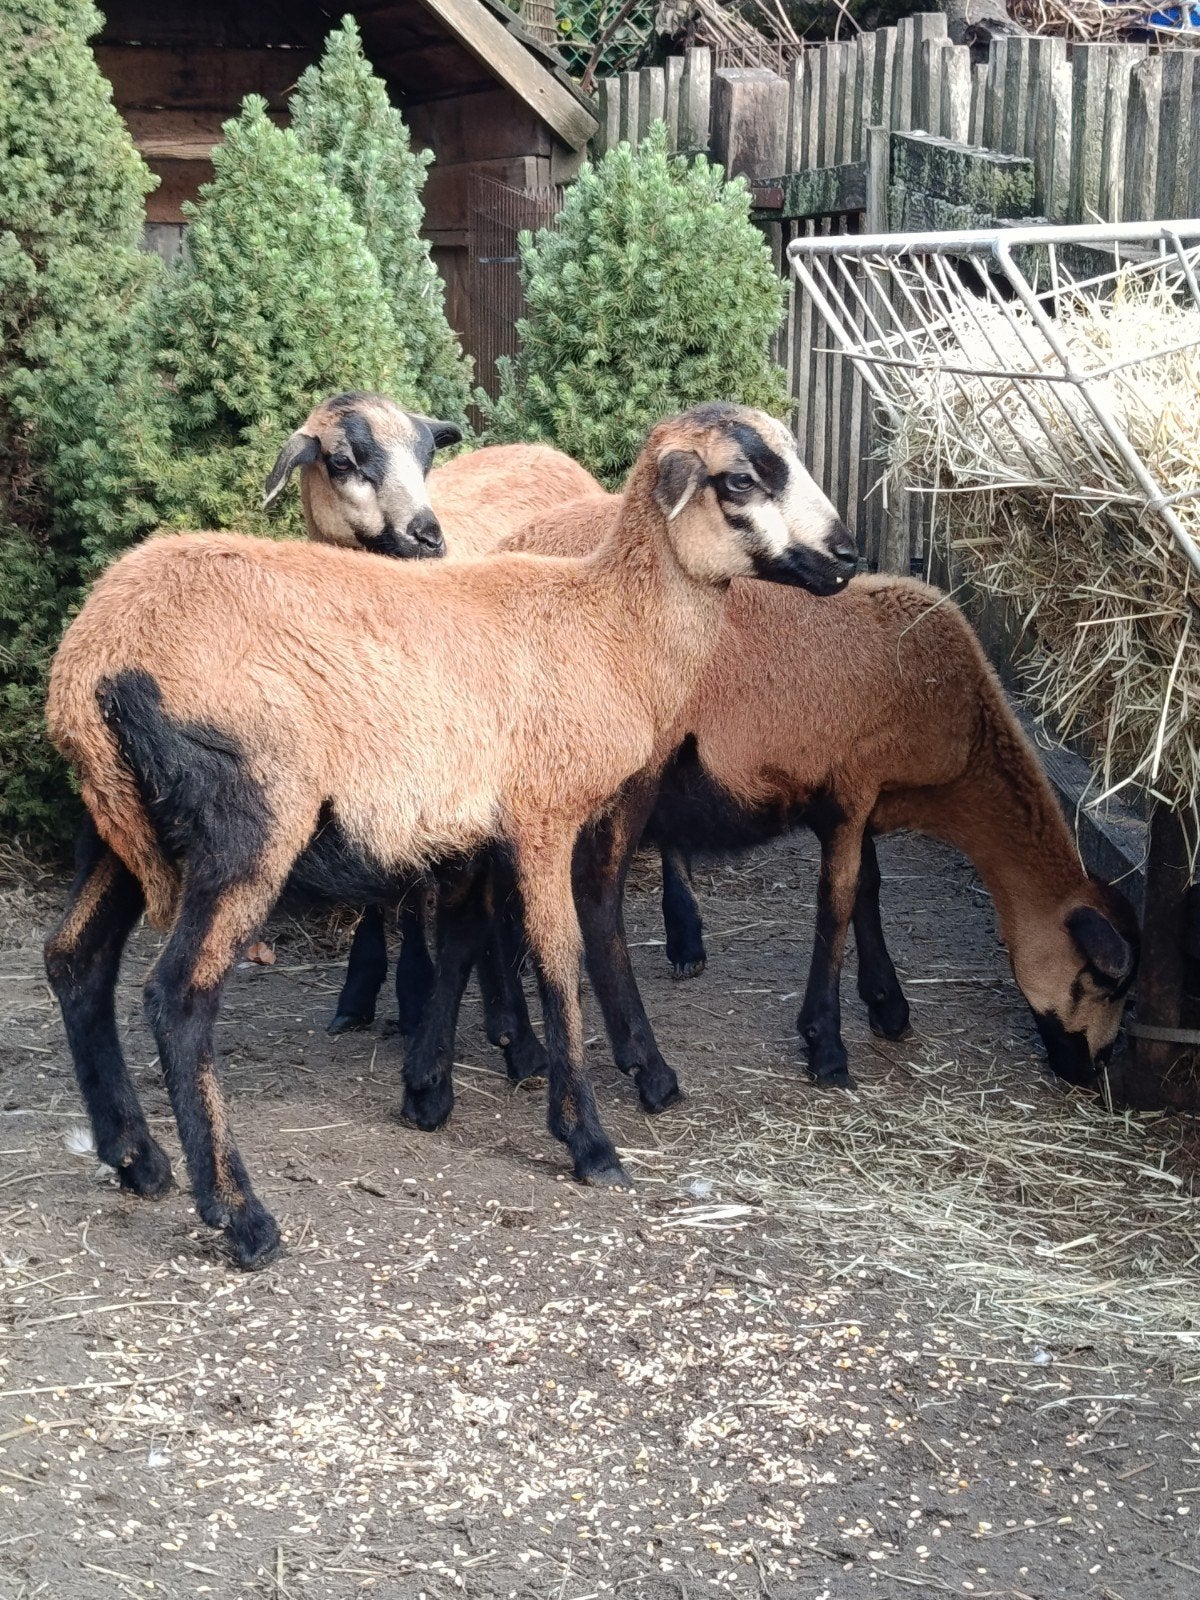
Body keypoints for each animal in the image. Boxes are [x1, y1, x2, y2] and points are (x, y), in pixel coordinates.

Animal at [43, 403, 858, 1267]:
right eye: (739, 479)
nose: (846, 557)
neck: (609, 628)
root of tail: (90, 661)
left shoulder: (474, 828)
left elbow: (466, 935)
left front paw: (428, 1090)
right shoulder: (541, 816)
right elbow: (557, 958)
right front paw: (588, 1140)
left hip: (116, 822)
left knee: (75, 959)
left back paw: (136, 1156)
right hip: (250, 819)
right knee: (177, 995)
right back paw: (240, 1215)